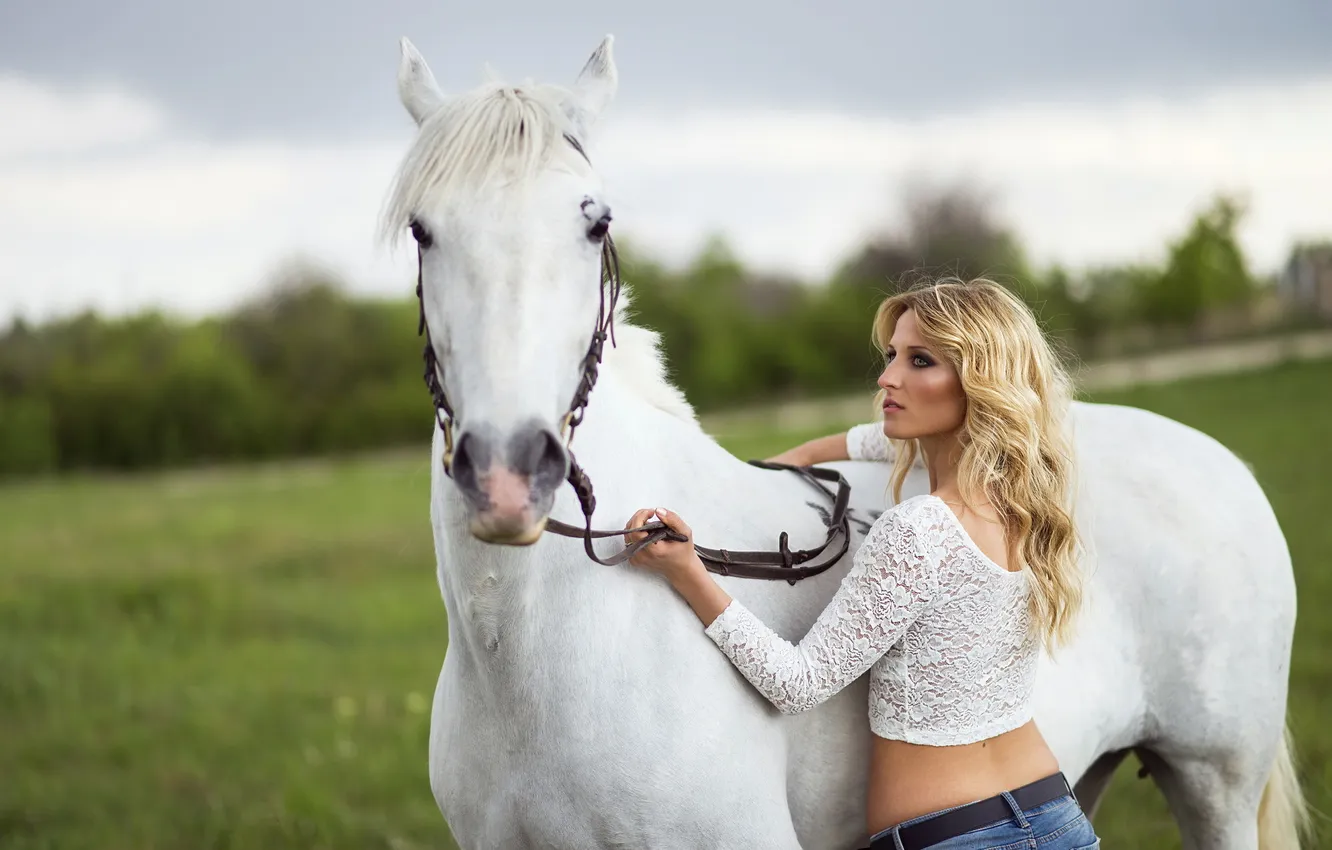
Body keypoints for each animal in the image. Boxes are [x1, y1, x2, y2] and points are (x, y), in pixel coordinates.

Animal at [380, 34, 1307, 850]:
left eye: (595, 224)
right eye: (423, 231)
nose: (507, 474)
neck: (536, 668)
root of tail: (1216, 458)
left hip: (1216, 783)